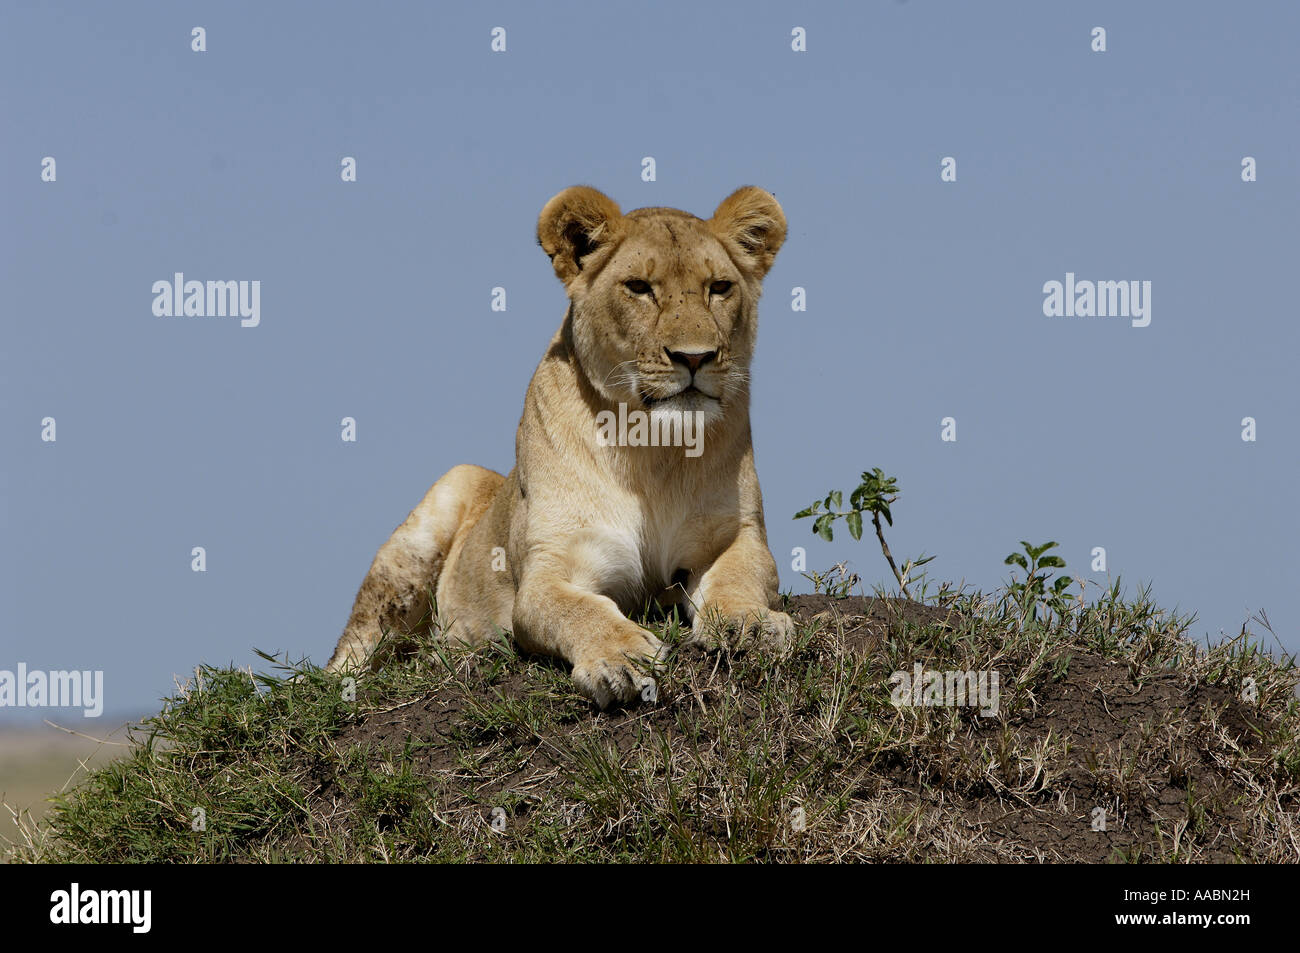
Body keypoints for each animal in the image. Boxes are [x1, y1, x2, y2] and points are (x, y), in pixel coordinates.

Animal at [326, 185, 794, 707]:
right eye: (638, 287)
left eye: (719, 287)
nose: (694, 357)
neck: (652, 448)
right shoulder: (550, 569)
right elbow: (577, 610)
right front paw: (620, 660)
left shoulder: (736, 537)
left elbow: (738, 579)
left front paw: (750, 626)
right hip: (440, 505)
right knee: (352, 652)